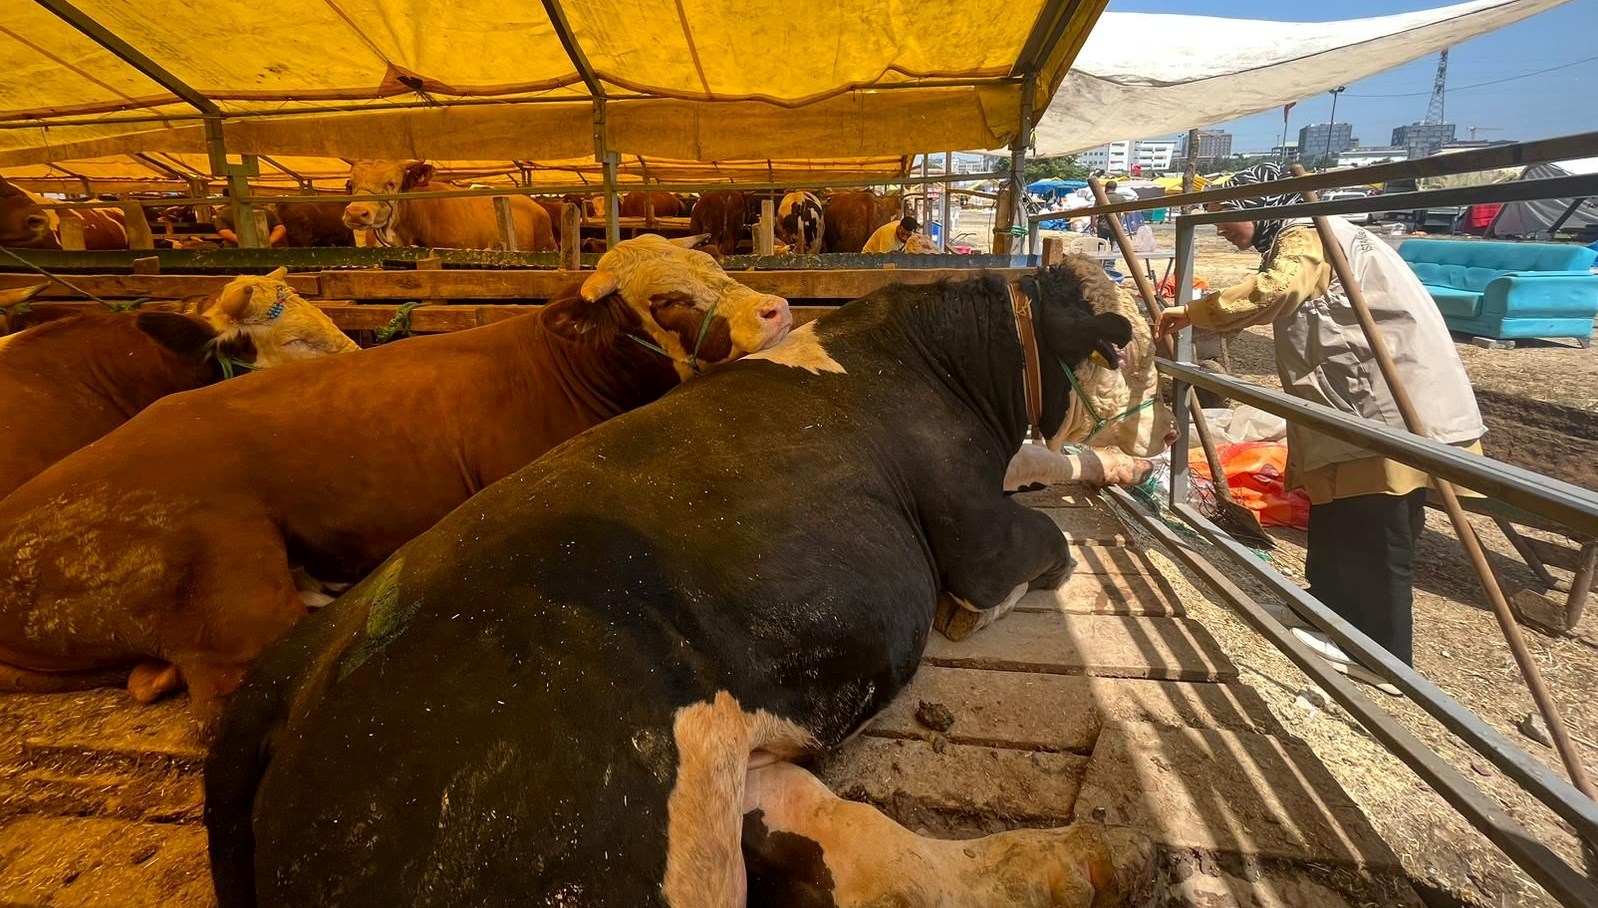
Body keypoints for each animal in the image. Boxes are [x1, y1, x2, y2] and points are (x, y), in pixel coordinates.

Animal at [212, 260, 1156, 908]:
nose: (1145, 422)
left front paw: (1123, 465)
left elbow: (1051, 459)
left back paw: (1092, 861)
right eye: (1121, 348)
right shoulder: (976, 532)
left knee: (868, 850)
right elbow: (1039, 544)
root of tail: (298, 662)